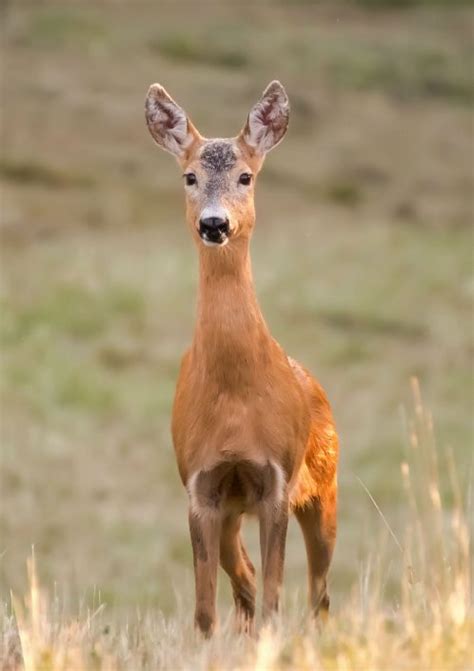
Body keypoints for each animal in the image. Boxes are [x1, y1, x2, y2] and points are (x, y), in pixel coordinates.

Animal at [144, 81, 336, 636]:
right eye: (189, 176)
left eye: (245, 176)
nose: (214, 223)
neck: (234, 400)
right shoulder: (200, 485)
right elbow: (205, 610)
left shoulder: (277, 482)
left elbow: (275, 597)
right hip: (231, 510)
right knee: (243, 578)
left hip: (325, 483)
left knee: (318, 591)